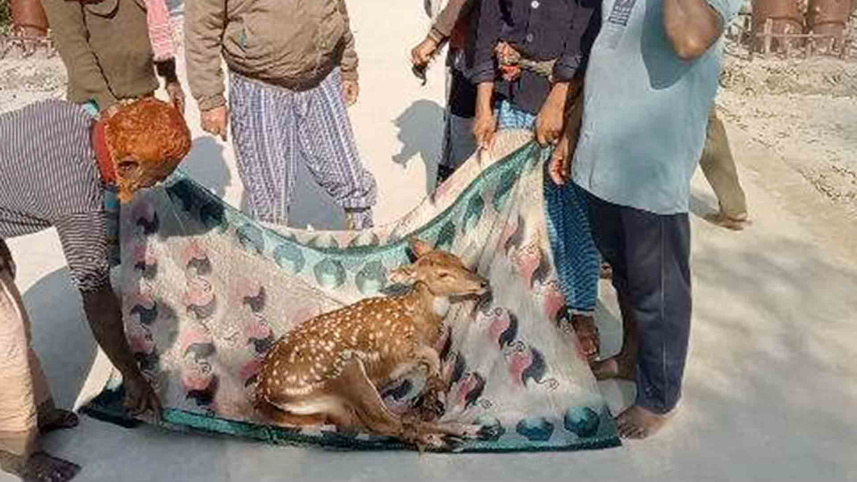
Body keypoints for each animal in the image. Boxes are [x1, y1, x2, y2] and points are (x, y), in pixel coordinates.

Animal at [254, 238, 495, 450]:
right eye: (443, 274)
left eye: (460, 262)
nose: (483, 282)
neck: (418, 318)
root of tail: (264, 395)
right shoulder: (397, 347)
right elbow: (431, 356)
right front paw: (433, 387)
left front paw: (435, 394)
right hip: (344, 369)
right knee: (383, 421)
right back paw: (450, 436)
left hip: (333, 402)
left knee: (372, 422)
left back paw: (467, 430)